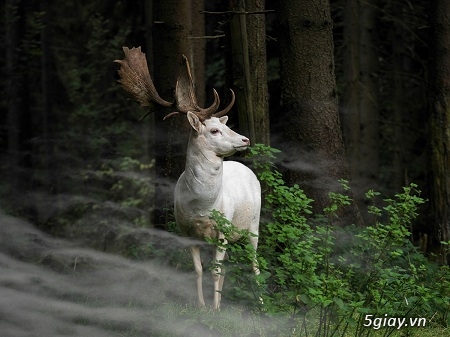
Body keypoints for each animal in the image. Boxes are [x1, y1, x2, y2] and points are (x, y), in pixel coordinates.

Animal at [116, 46, 262, 308]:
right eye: (214, 130)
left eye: (225, 126)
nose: (245, 139)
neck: (202, 207)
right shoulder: (186, 232)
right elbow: (199, 270)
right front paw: (203, 307)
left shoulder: (222, 230)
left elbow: (215, 270)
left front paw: (215, 309)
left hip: (253, 225)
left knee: (255, 263)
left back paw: (262, 303)